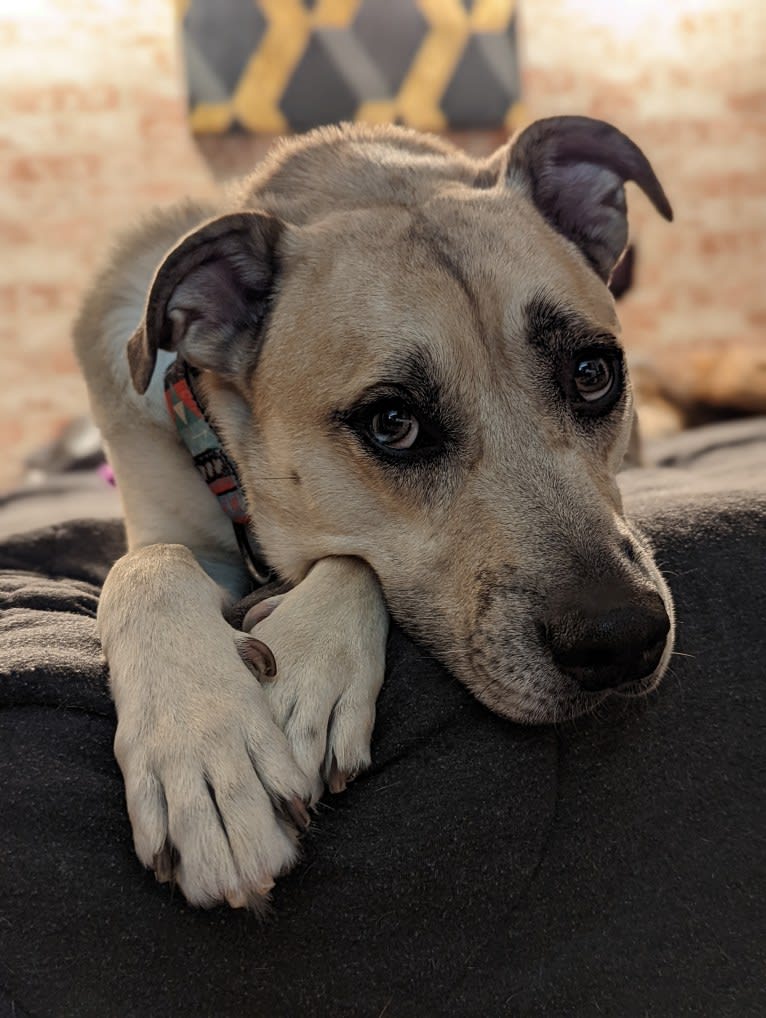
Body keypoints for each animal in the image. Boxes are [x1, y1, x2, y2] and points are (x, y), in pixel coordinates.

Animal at [74, 117, 676, 908]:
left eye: (592, 374)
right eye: (393, 423)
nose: (623, 637)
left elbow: (352, 558)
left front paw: (304, 675)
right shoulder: (162, 530)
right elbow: (148, 564)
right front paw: (204, 750)